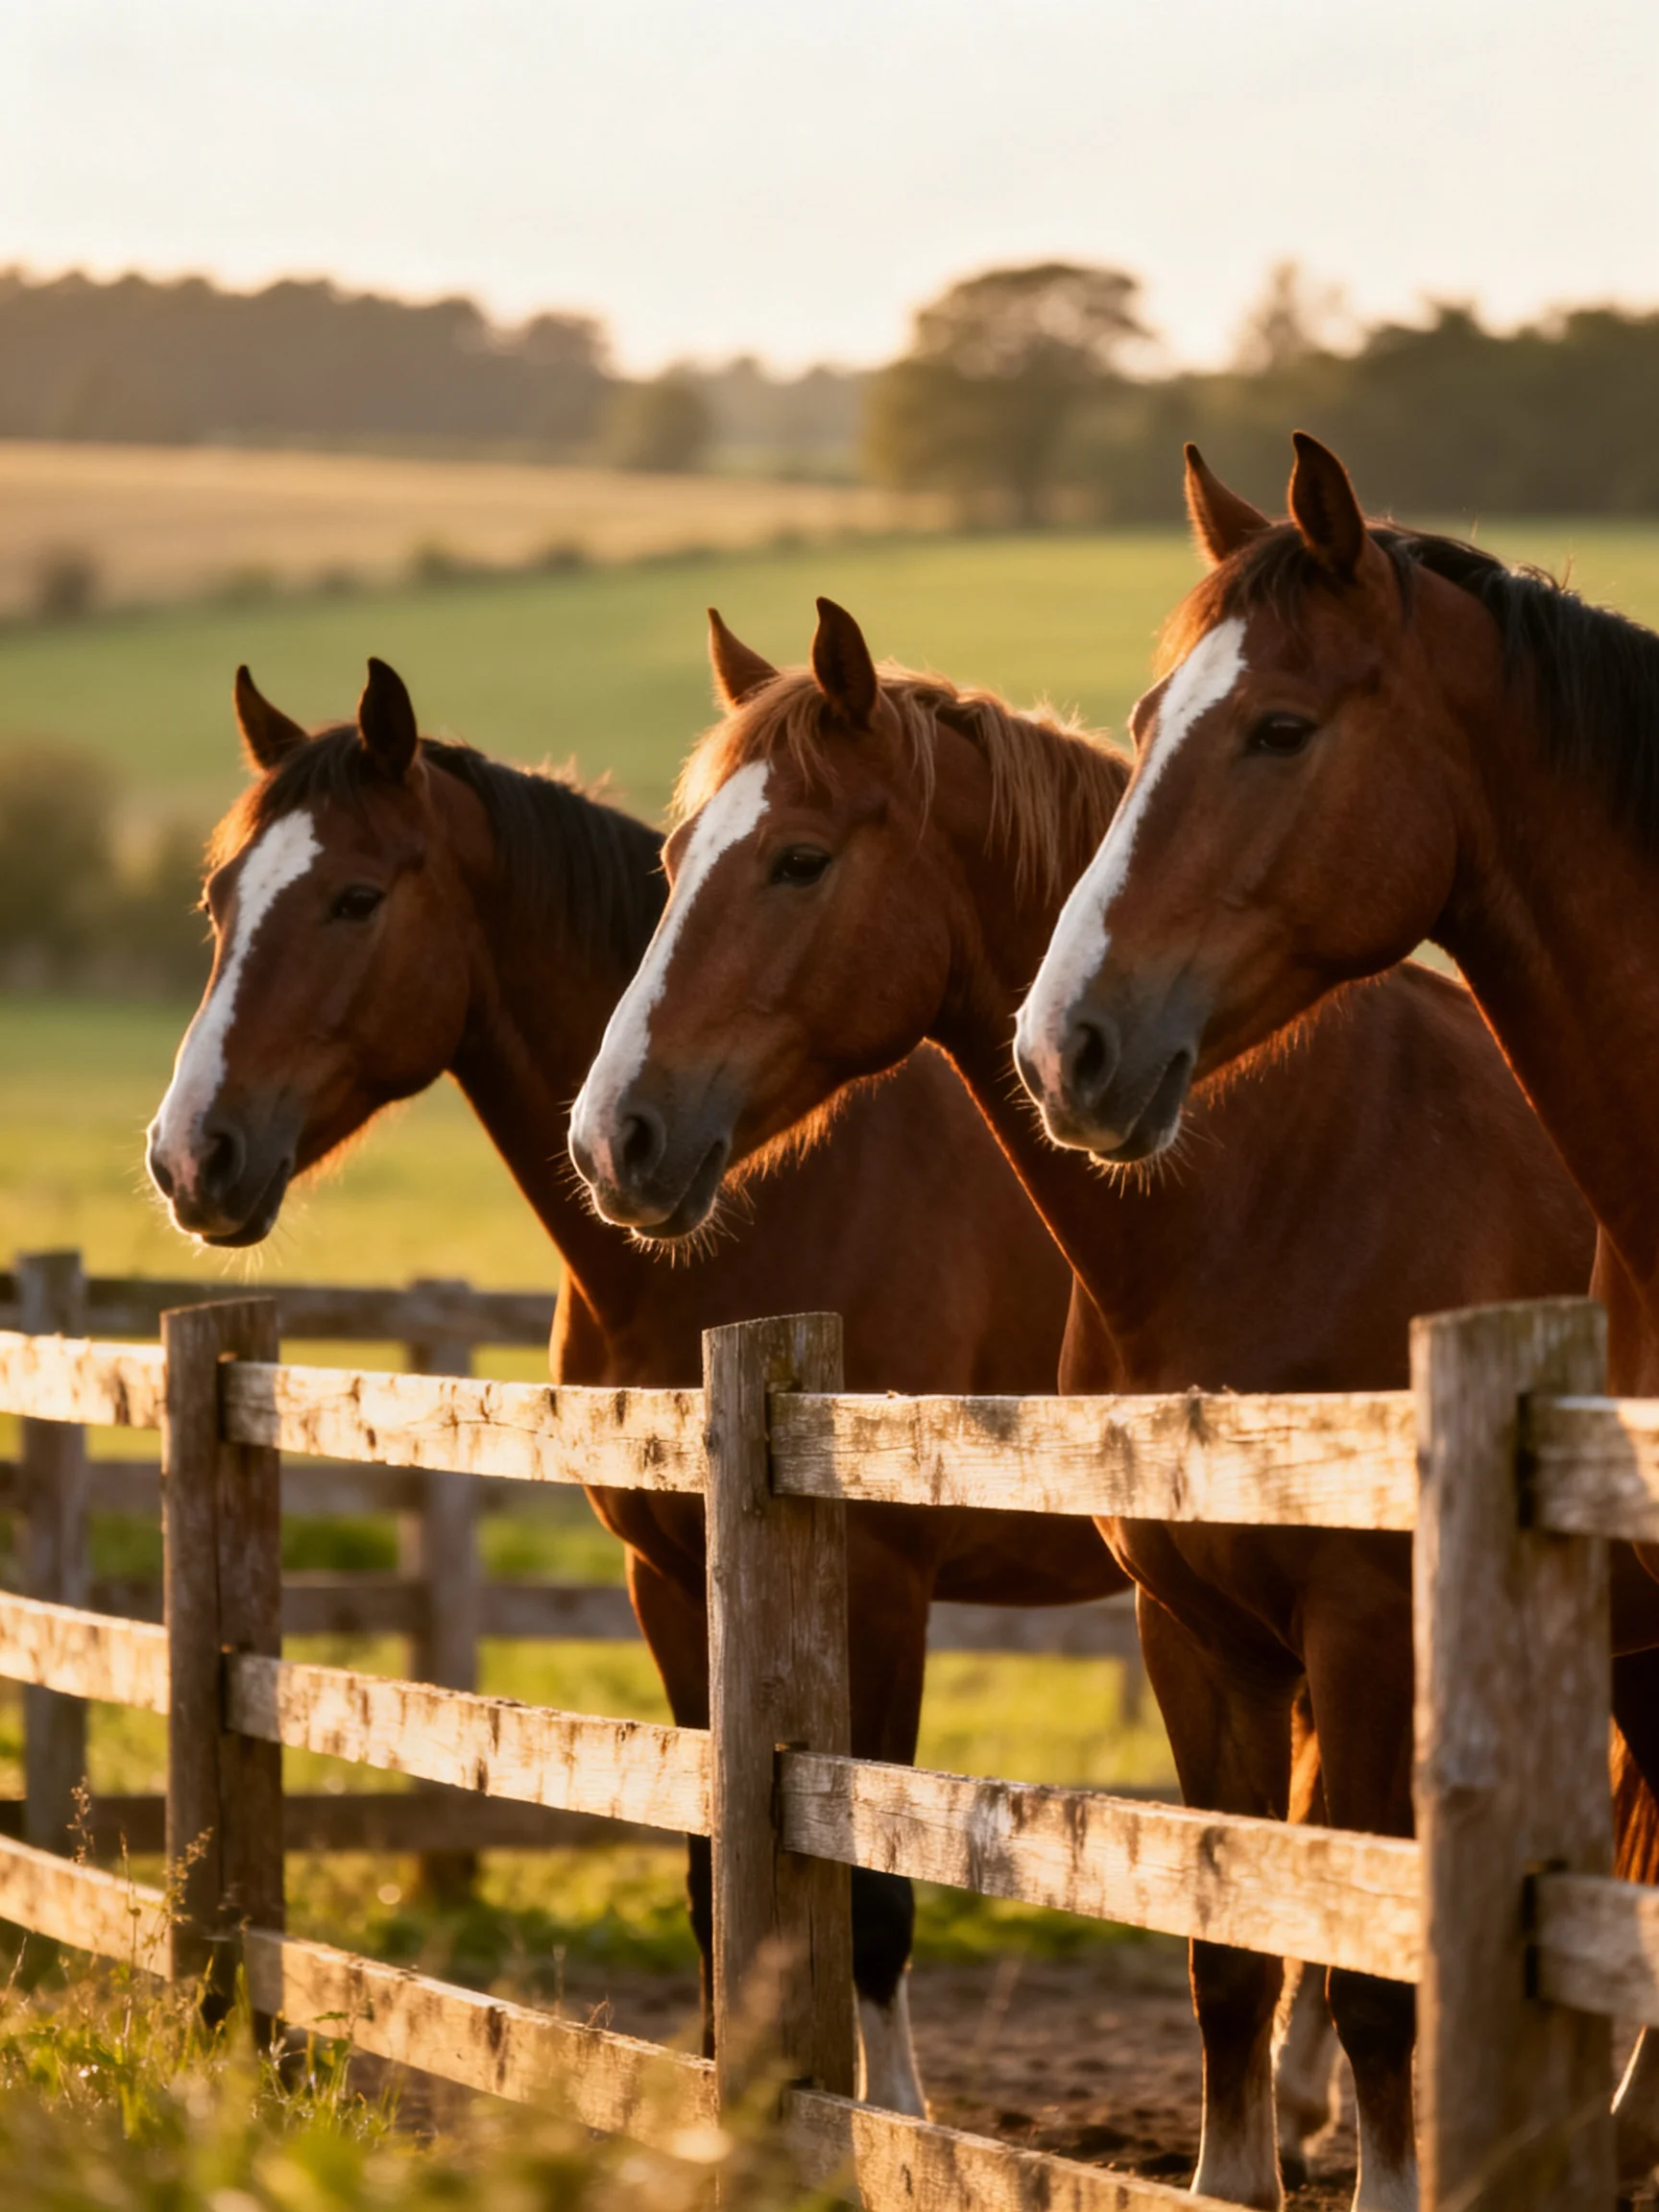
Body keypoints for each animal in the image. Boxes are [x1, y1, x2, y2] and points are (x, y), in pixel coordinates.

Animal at [144, 655, 1122, 2118]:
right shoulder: (669, 1577)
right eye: (221, 901)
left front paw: (888, 2119)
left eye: (356, 896)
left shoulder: (882, 1585)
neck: (763, 1209)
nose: (188, 1155)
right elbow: (720, 1878)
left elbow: (873, 1892)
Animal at [566, 601, 1595, 2211]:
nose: (614, 1138)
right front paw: (1235, 2174)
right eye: (674, 859)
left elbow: (1372, 1963)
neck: (1292, 1184)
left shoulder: (1373, 1628)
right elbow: (1232, 1947)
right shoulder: (1195, 1628)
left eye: (799, 858)